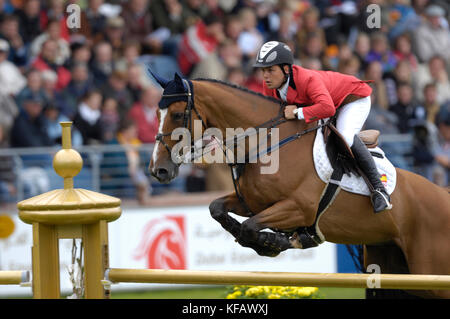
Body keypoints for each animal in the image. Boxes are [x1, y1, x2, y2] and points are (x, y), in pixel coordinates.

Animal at [149, 73, 450, 300]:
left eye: (177, 115)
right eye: (156, 113)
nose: (158, 170)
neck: (266, 141)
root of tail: (442, 195)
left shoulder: (298, 208)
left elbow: (251, 227)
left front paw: (275, 242)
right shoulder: (252, 203)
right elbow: (217, 208)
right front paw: (266, 241)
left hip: (429, 271)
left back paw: (380, 197)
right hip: (393, 266)